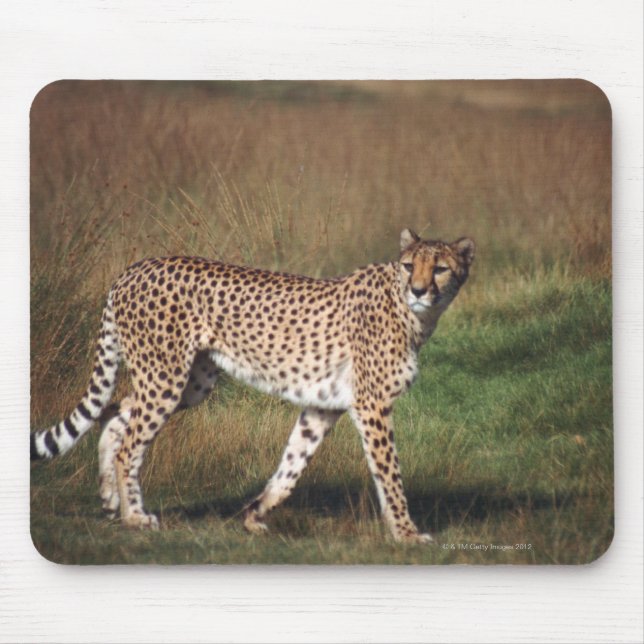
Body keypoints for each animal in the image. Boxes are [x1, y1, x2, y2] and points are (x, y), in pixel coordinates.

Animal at [31, 228, 475, 543]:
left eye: (439, 268)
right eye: (409, 266)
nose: (419, 290)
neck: (413, 313)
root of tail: (134, 267)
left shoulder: (324, 405)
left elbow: (292, 465)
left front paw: (255, 514)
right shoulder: (373, 405)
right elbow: (390, 474)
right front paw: (407, 533)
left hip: (190, 382)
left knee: (117, 414)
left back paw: (110, 500)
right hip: (166, 376)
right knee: (130, 443)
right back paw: (134, 516)